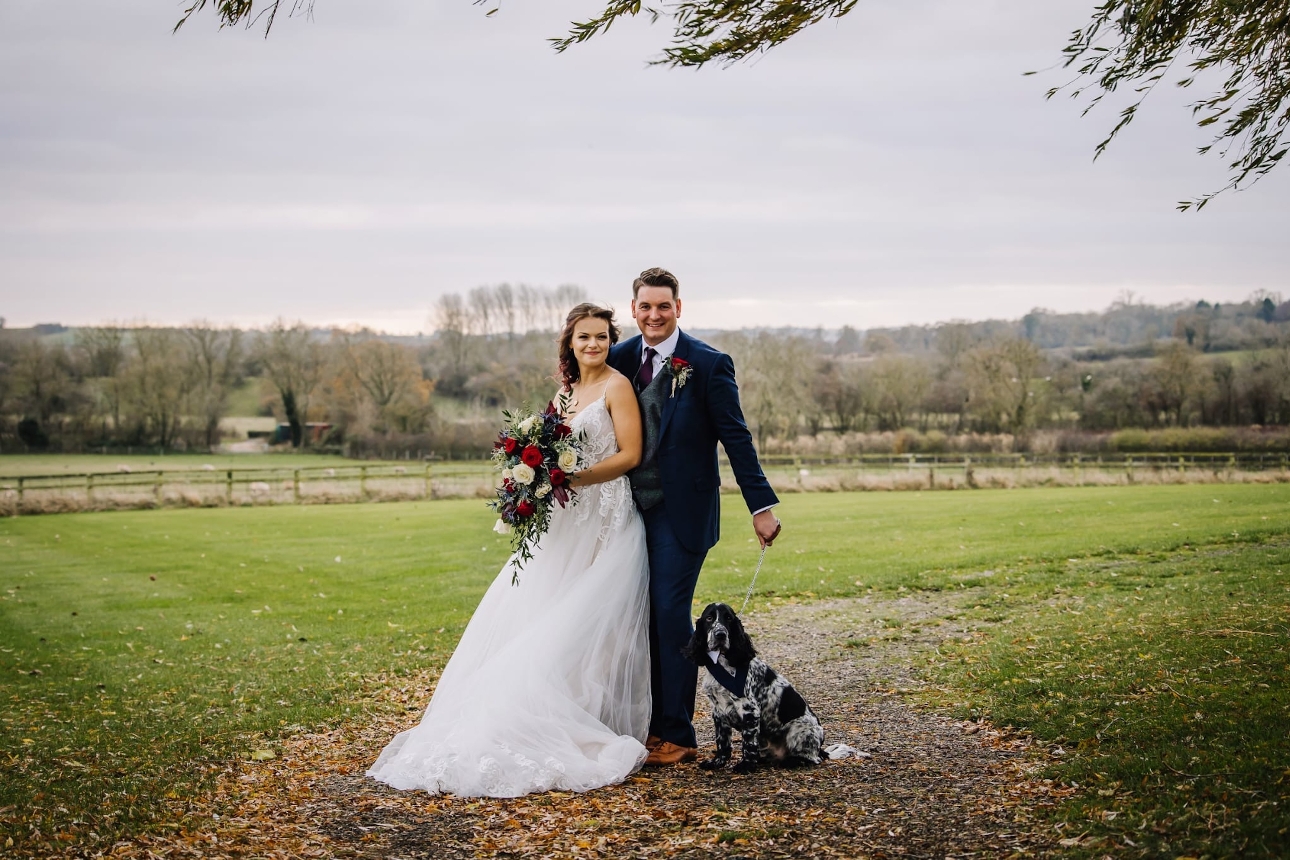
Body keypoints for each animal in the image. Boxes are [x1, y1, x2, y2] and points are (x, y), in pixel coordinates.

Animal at [686, 605, 825, 773]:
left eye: (729, 618)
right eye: (709, 618)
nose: (720, 635)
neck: (723, 660)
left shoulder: (749, 710)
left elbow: (748, 742)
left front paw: (746, 766)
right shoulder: (718, 712)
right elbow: (722, 742)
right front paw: (717, 762)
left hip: (800, 730)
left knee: (812, 757)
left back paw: (791, 761)